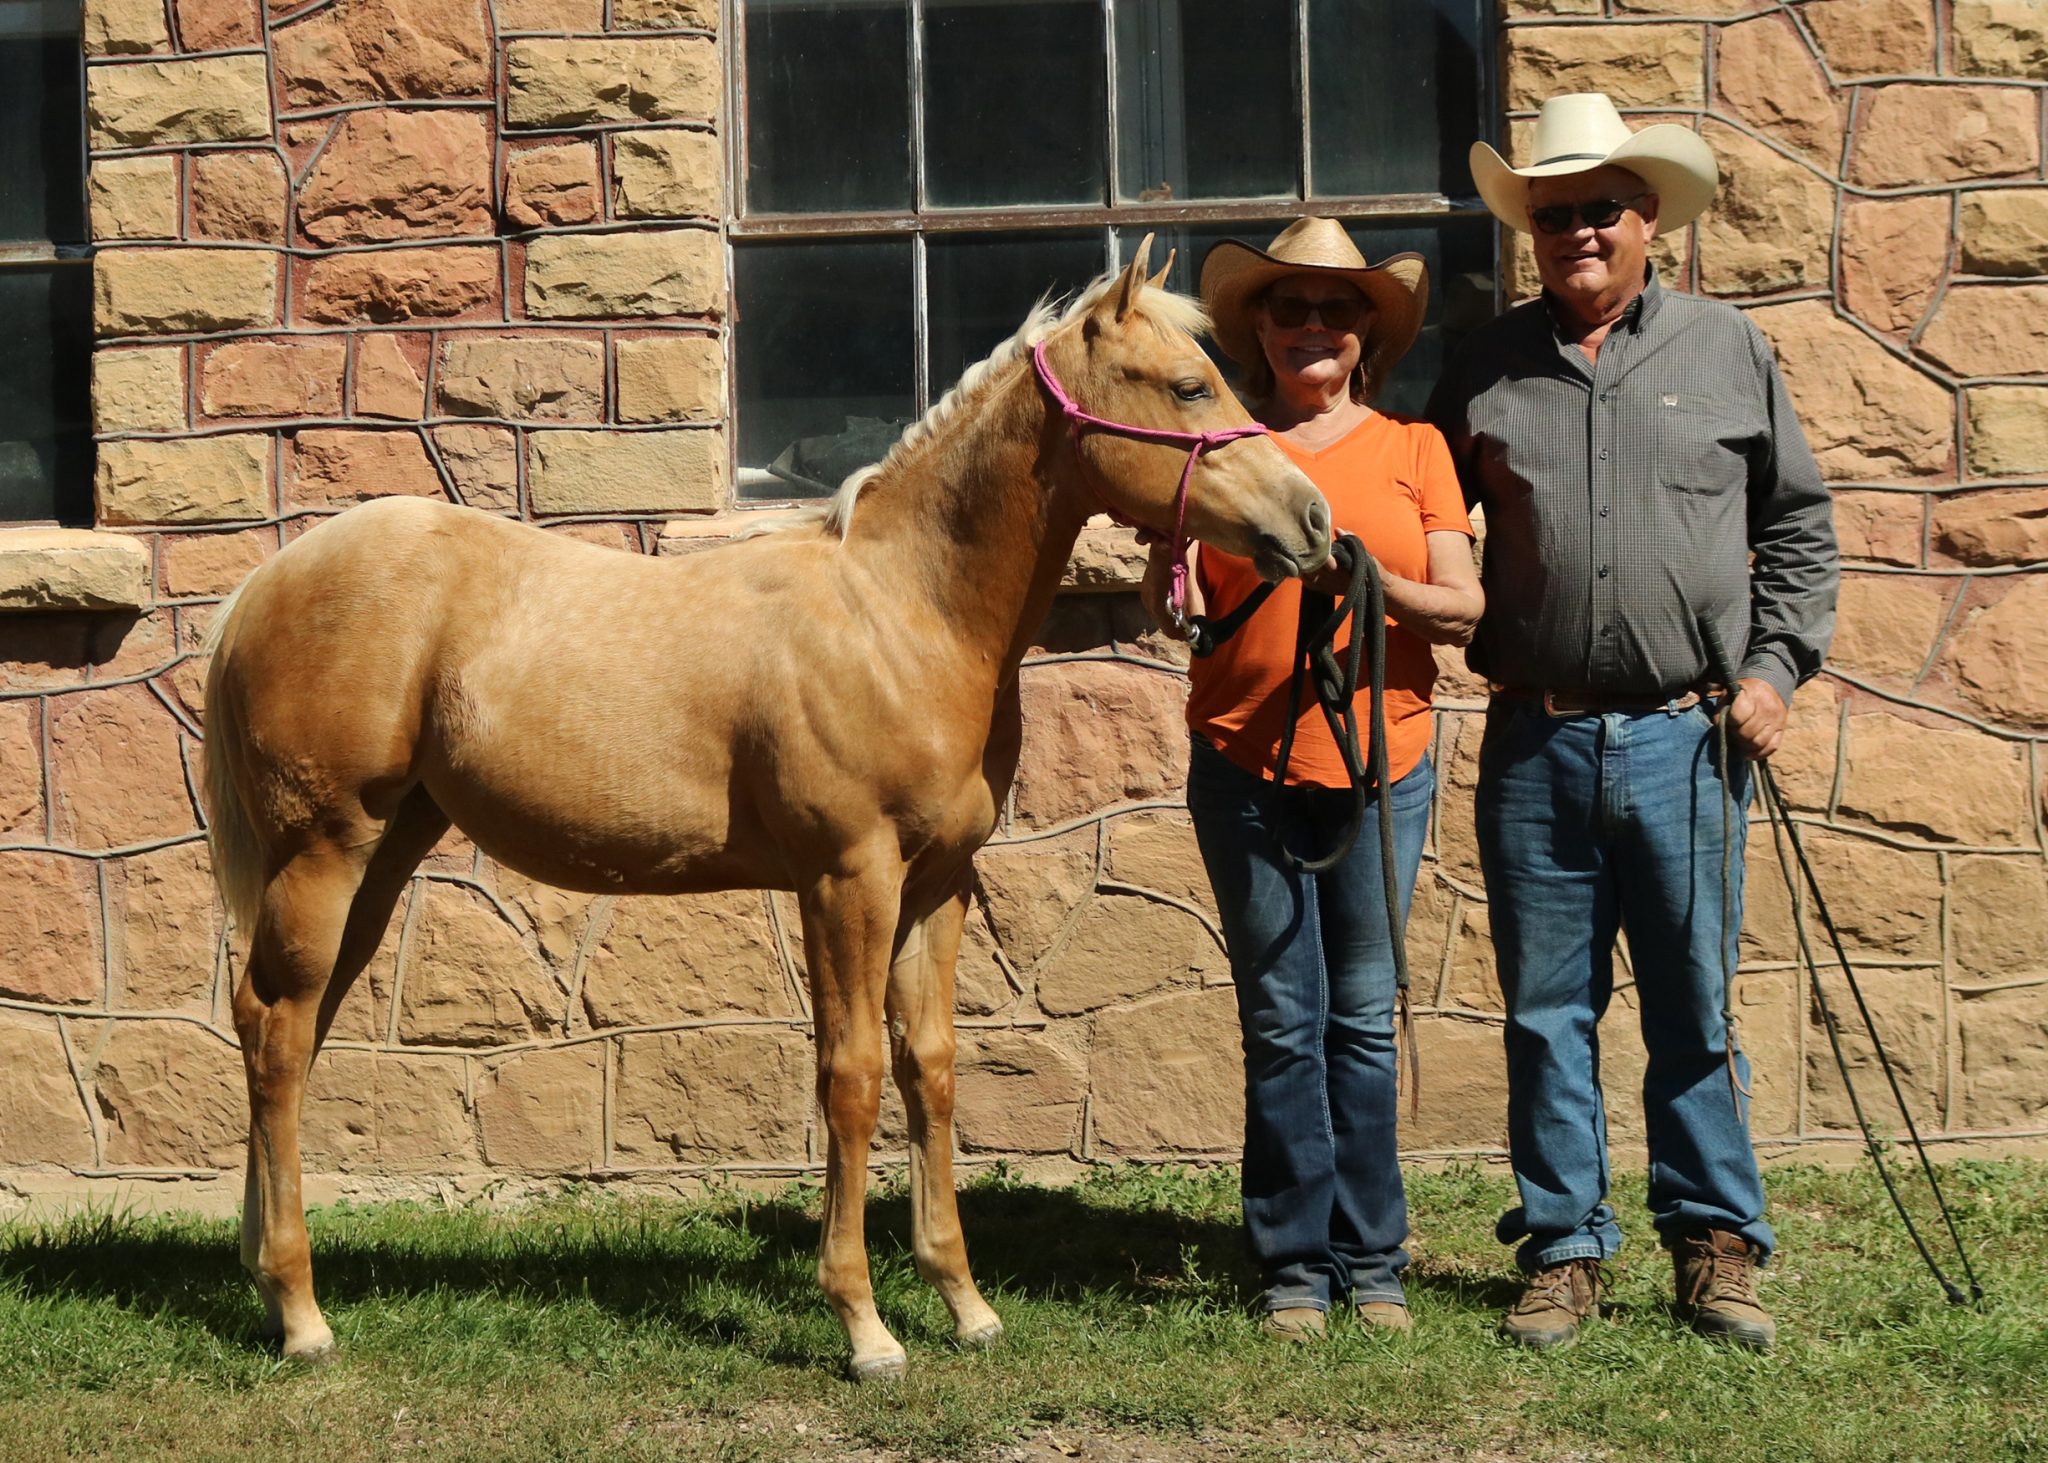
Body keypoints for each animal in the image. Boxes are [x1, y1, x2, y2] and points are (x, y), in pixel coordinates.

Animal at [200, 239, 1332, 1381]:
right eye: (1189, 387)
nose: (1314, 521)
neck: (901, 614)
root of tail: (264, 582)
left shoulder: (937, 885)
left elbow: (929, 1067)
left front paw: (964, 1302)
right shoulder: (846, 877)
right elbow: (852, 1074)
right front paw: (865, 1325)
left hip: (384, 855)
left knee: (277, 1021)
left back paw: (260, 1272)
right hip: (325, 851)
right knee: (283, 1033)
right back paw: (300, 1313)